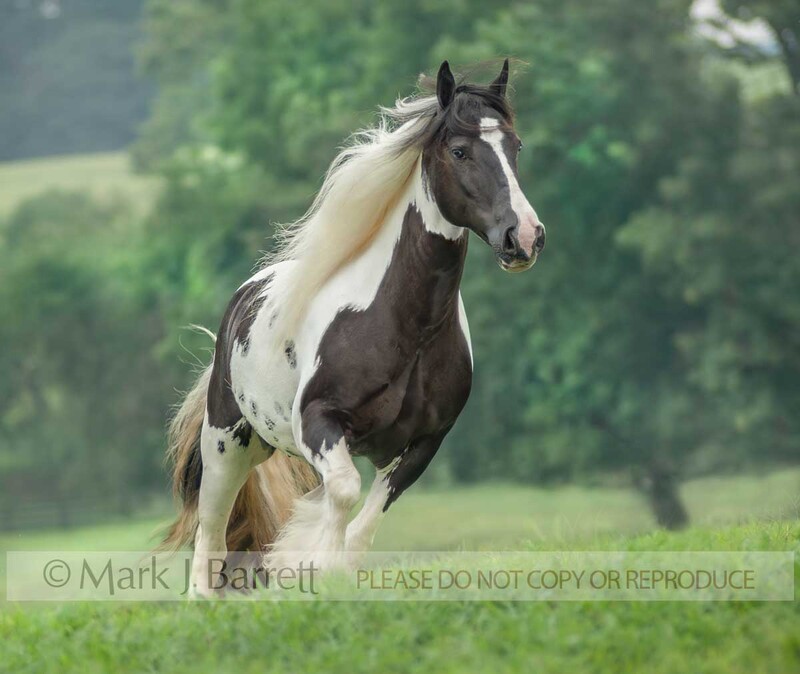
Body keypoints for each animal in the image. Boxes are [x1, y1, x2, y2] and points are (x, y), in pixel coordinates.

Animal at [162, 60, 546, 597]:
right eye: (459, 150)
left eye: (516, 147)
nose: (524, 237)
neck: (407, 329)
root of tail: (243, 299)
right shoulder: (320, 422)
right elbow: (344, 493)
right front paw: (313, 570)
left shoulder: (425, 441)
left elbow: (368, 514)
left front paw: (331, 570)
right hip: (226, 443)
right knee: (211, 527)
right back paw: (203, 595)